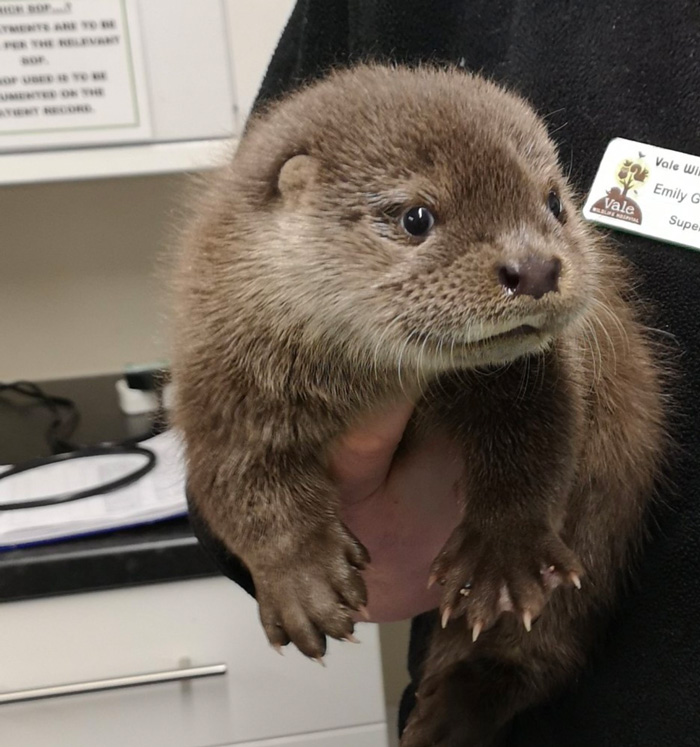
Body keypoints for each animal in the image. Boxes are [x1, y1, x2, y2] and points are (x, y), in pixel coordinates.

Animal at [171, 65, 665, 746]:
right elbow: (237, 481)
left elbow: (537, 442)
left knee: (540, 652)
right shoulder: (218, 369)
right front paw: (300, 580)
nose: (535, 267)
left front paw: (501, 555)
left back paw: (449, 712)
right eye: (416, 216)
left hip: (594, 544)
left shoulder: (544, 372)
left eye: (554, 202)